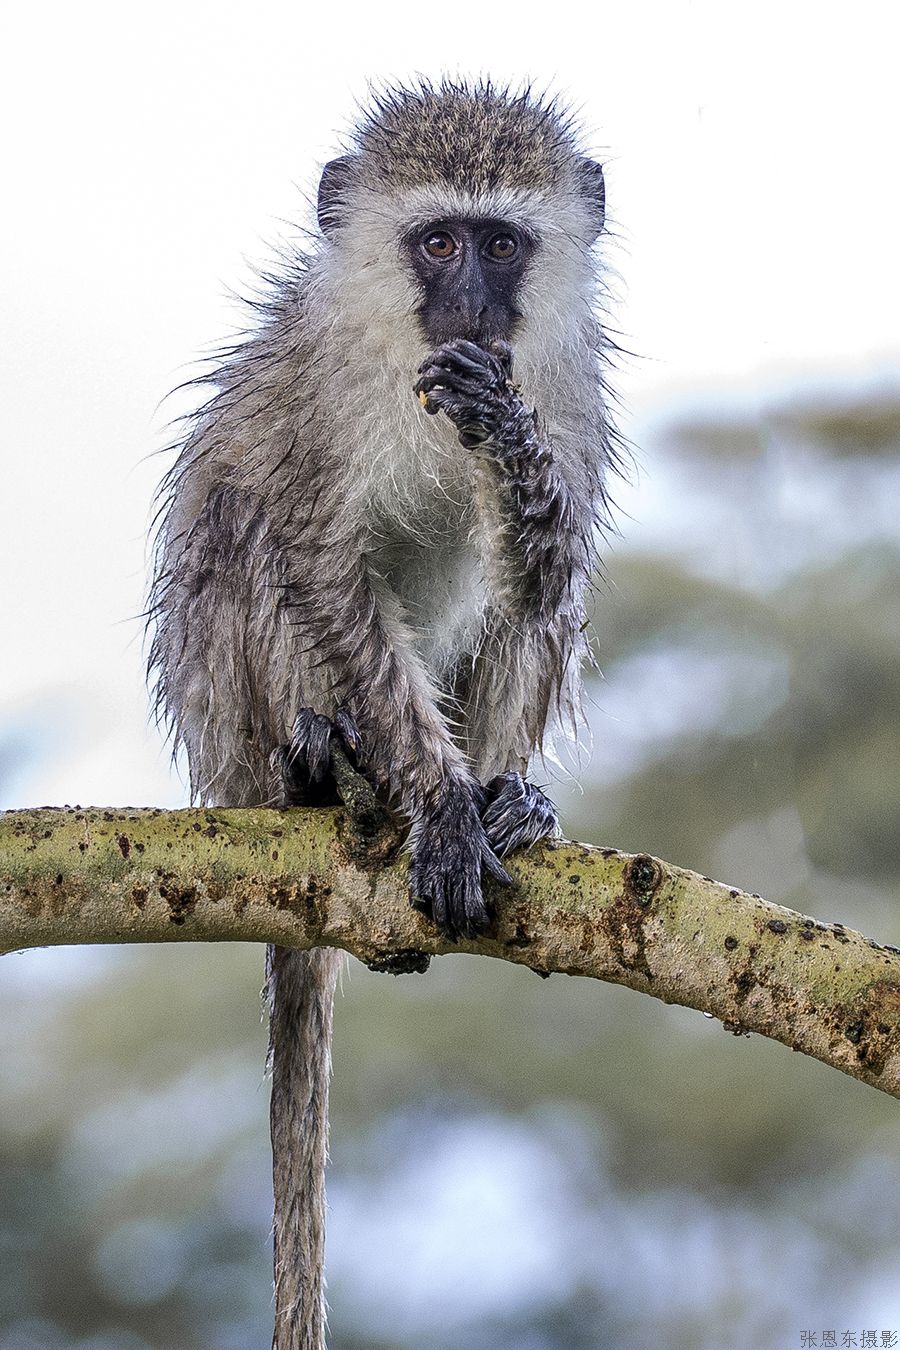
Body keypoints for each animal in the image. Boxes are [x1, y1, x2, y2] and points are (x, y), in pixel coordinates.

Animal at [149, 81, 620, 1350]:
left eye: (501, 244)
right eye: (438, 243)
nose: (472, 307)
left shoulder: (565, 388)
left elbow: (541, 583)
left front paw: (501, 438)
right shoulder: (319, 399)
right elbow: (318, 558)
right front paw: (439, 807)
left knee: (535, 614)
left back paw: (507, 801)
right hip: (235, 717)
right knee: (248, 528)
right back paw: (327, 773)